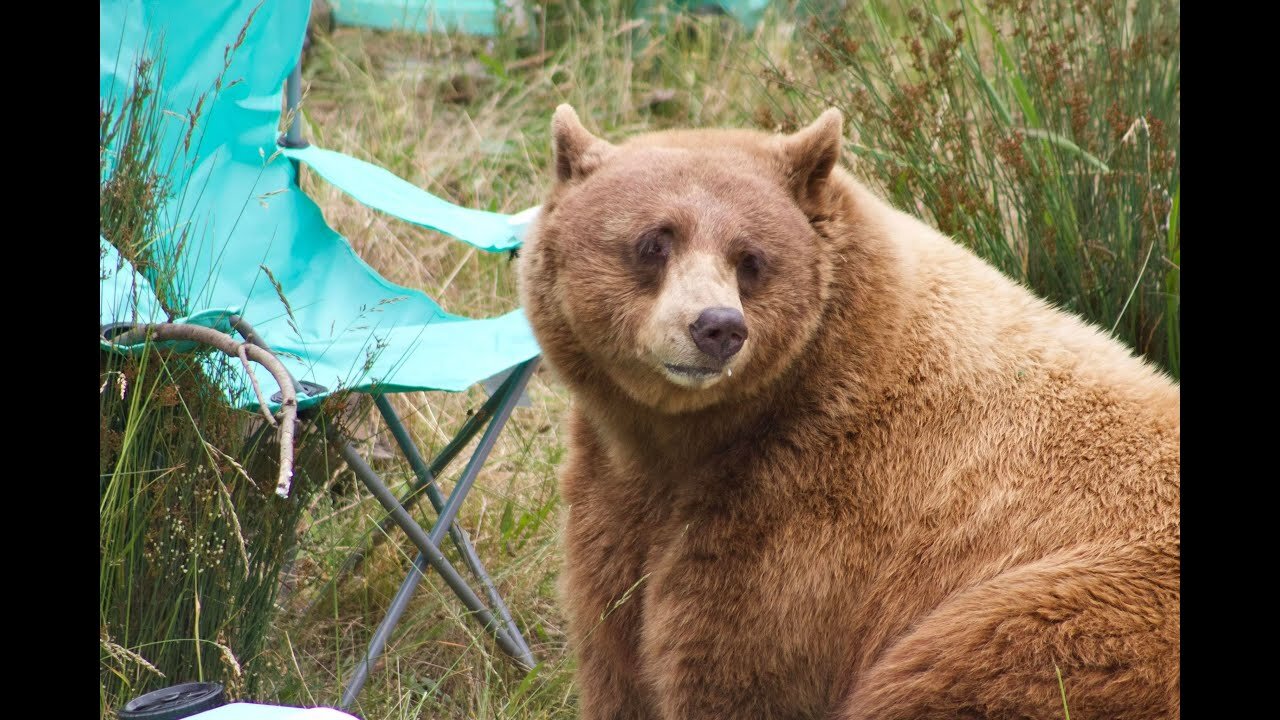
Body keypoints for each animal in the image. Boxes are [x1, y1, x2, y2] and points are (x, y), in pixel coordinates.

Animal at [514, 105, 1172, 717]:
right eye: (654, 241)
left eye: (750, 258)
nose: (717, 327)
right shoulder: (615, 502)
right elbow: (615, 650)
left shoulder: (807, 528)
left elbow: (733, 671)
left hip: (1057, 620)